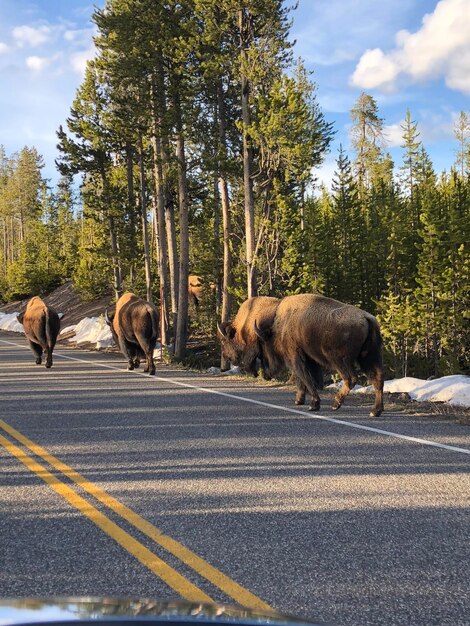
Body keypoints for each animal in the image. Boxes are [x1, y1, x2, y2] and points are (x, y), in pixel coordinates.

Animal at [255, 292, 384, 414]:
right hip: (369, 357)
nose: (265, 375)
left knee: (351, 378)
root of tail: (367, 318)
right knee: (378, 379)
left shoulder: (295, 357)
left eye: (264, 346)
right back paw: (375, 411)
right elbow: (306, 379)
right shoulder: (309, 359)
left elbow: (306, 378)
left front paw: (314, 404)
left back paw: (335, 404)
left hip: (339, 360)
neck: (281, 328)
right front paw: (299, 401)